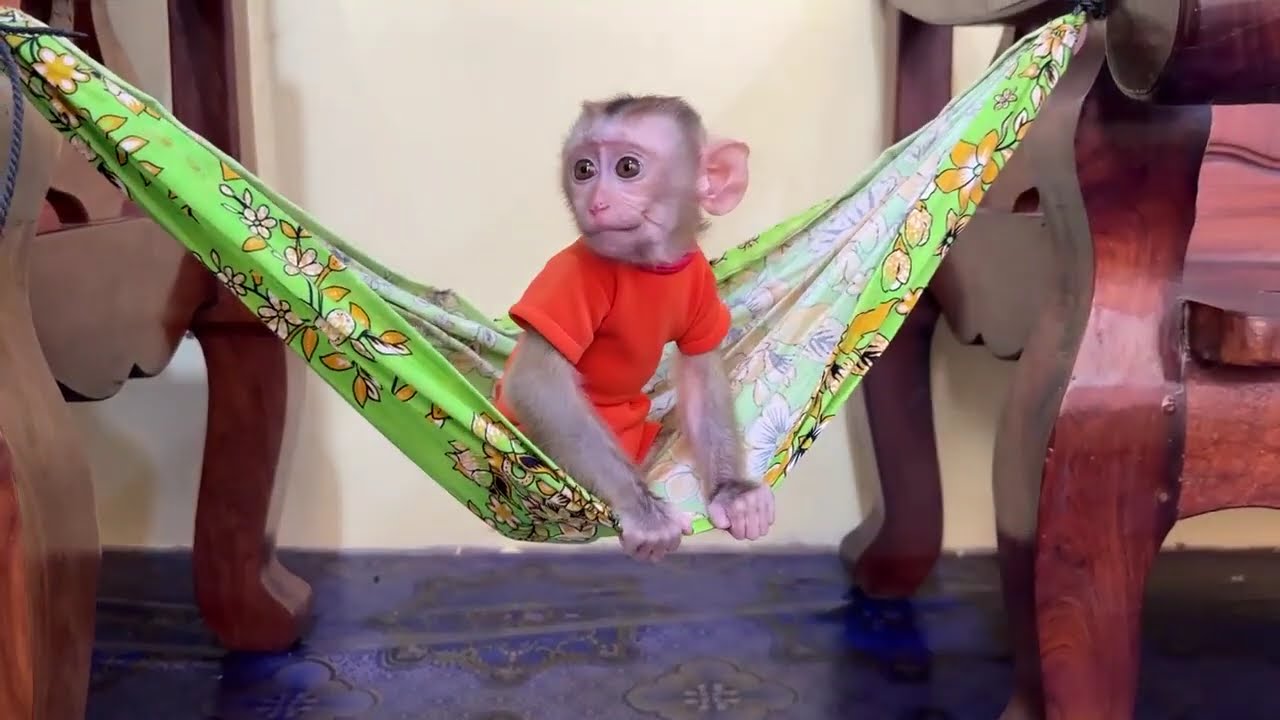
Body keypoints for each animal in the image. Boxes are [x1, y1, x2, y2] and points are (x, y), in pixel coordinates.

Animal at [492, 94, 776, 562]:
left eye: (627, 167)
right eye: (583, 169)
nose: (596, 201)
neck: (647, 264)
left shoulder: (698, 278)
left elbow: (699, 372)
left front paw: (732, 491)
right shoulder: (569, 279)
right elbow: (535, 381)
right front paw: (644, 510)